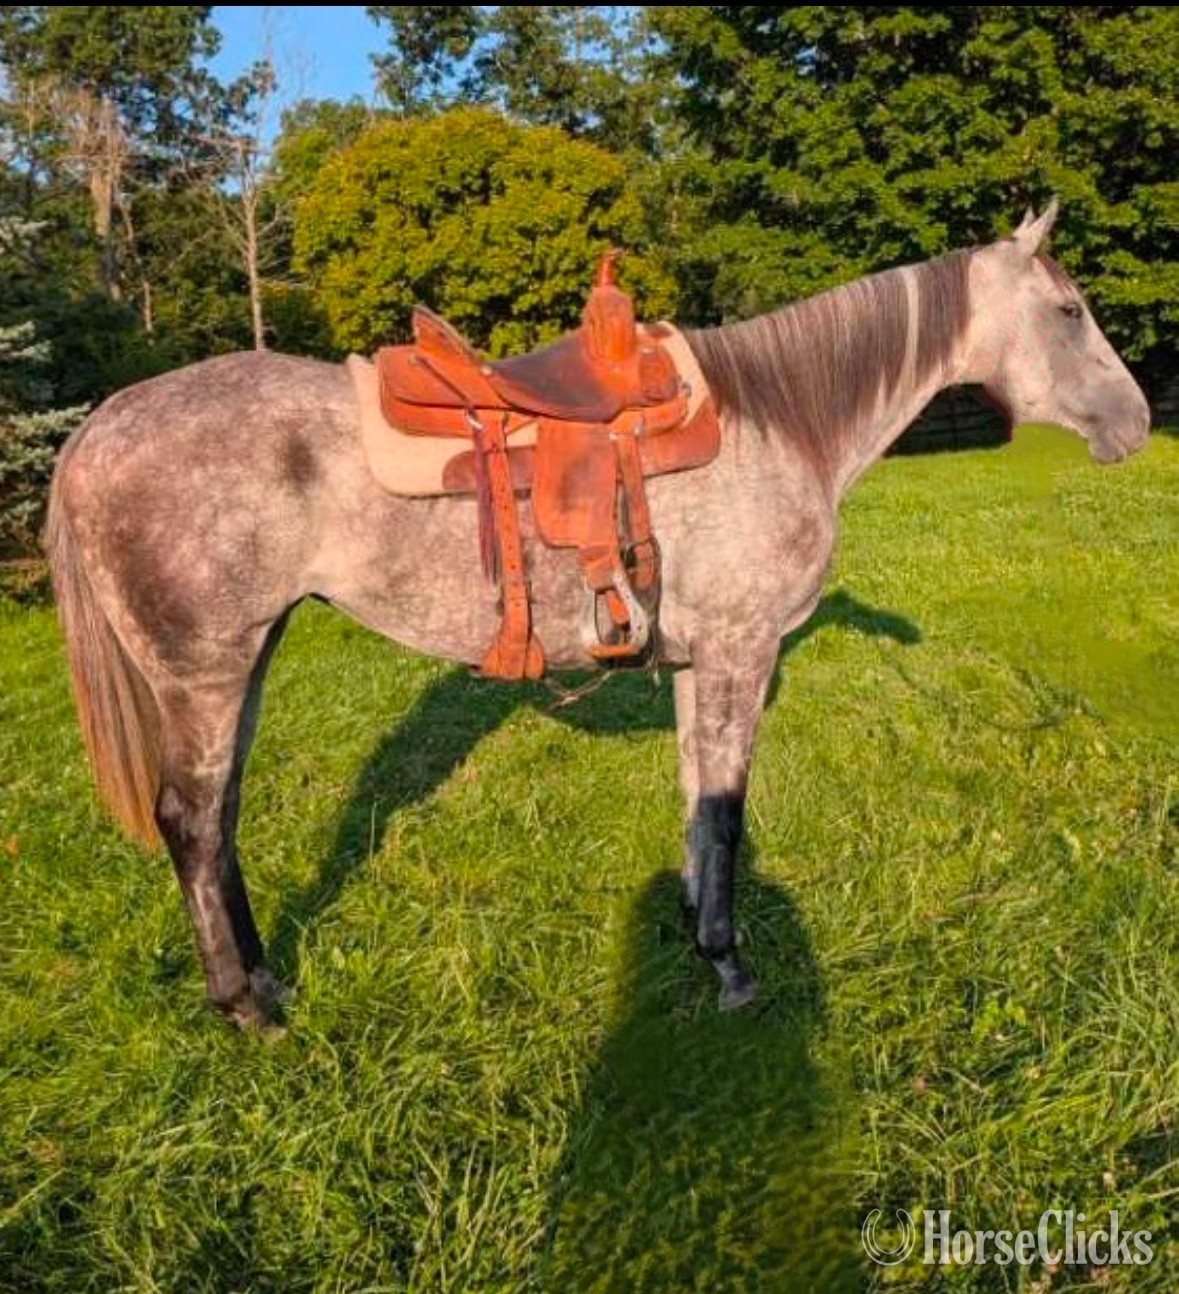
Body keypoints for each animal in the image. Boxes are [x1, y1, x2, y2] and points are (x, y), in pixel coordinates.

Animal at [44, 201, 1151, 1030]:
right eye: (1067, 309)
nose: (1137, 424)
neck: (781, 421)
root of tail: (98, 426)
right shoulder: (743, 651)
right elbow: (728, 809)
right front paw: (730, 965)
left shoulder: (702, 661)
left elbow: (698, 797)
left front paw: (696, 928)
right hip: (204, 669)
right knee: (191, 820)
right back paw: (246, 1006)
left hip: (248, 656)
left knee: (222, 815)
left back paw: (266, 978)